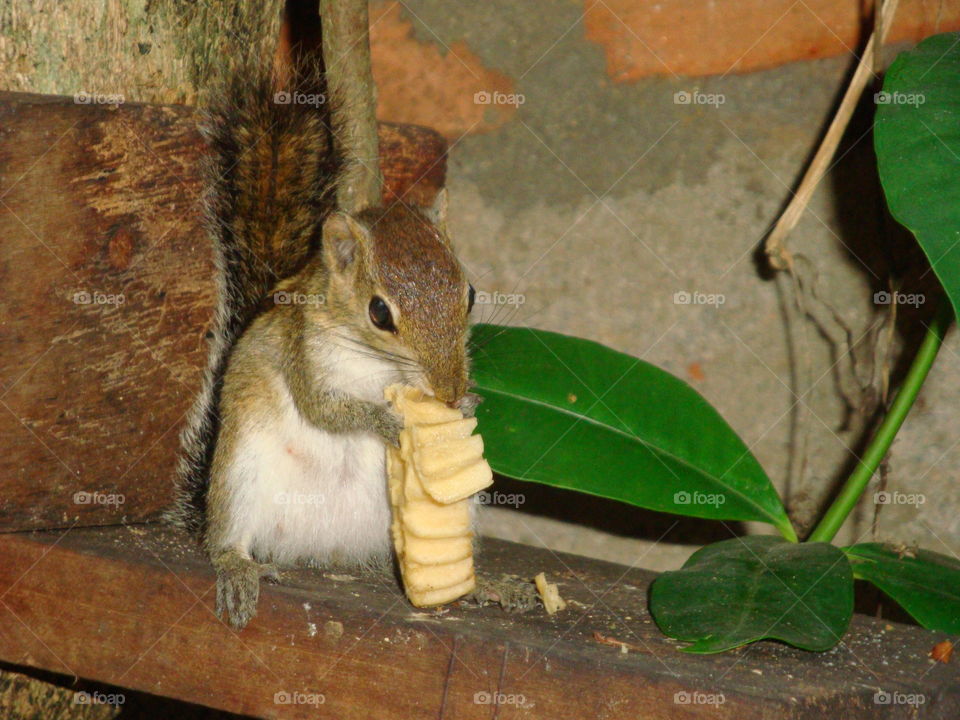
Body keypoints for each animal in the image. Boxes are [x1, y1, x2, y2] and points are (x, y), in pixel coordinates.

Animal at [167, 58, 479, 630]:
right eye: (380, 312)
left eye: (470, 294)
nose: (448, 391)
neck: (383, 371)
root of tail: (322, 549)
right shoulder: (305, 354)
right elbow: (325, 410)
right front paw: (387, 422)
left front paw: (467, 405)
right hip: (240, 476)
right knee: (227, 540)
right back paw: (236, 568)